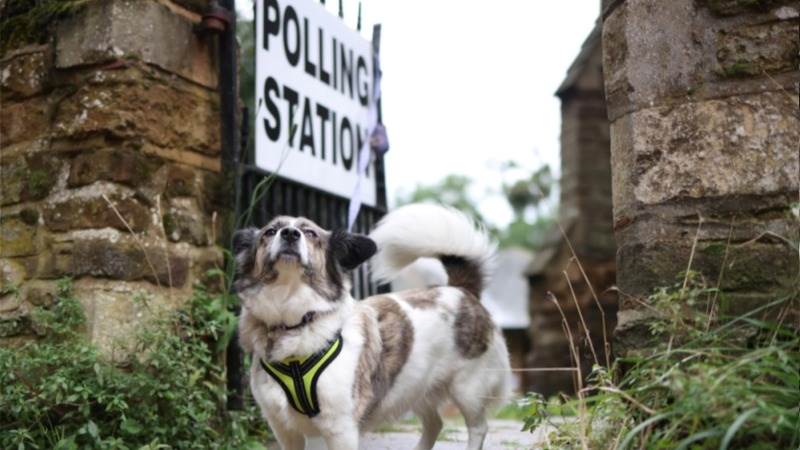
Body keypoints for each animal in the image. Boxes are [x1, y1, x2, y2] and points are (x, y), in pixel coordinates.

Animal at [231, 205, 510, 450]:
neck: (295, 321)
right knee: (434, 423)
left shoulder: (340, 428)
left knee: (478, 427)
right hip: (415, 386)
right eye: (270, 232)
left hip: (468, 389)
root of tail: (460, 289)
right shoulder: (284, 429)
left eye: (310, 233)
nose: (289, 233)